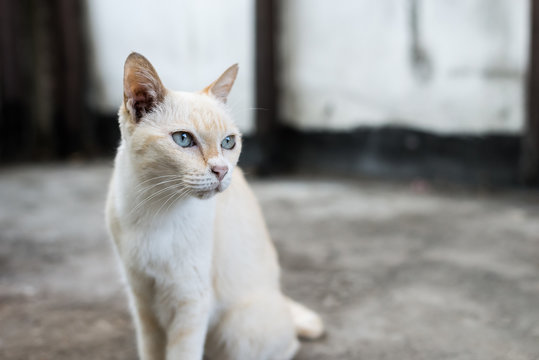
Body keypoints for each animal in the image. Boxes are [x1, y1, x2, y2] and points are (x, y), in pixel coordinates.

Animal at [106, 52, 324, 360]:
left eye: (228, 142)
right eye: (183, 139)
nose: (221, 170)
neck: (154, 209)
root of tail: (280, 297)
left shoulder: (190, 300)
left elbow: (182, 354)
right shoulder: (142, 297)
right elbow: (151, 351)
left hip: (238, 330)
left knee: (286, 346)